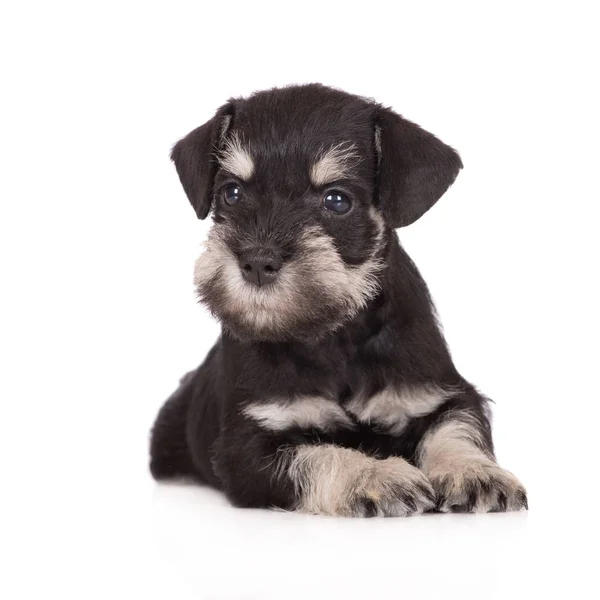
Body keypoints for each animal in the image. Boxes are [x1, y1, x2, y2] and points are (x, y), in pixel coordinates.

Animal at [149, 83, 524, 516]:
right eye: (232, 193)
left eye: (337, 200)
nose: (257, 262)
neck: (333, 337)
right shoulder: (249, 443)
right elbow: (321, 454)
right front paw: (376, 475)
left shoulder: (444, 395)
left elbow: (458, 430)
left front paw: (476, 474)